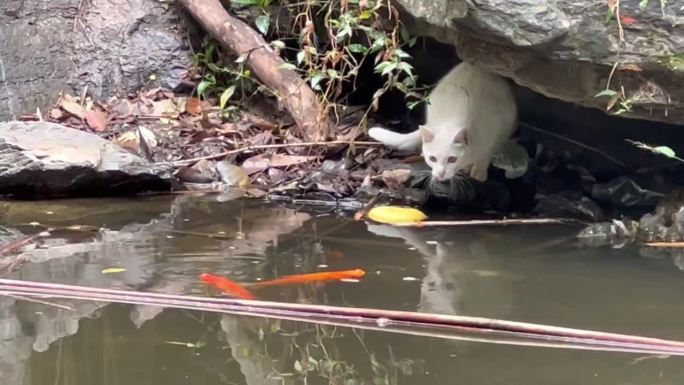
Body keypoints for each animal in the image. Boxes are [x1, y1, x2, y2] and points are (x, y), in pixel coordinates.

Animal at [372, 62, 516, 182]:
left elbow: (486, 154)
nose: (441, 173)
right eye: (432, 159)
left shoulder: (498, 130)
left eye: (452, 159)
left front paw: (479, 171)